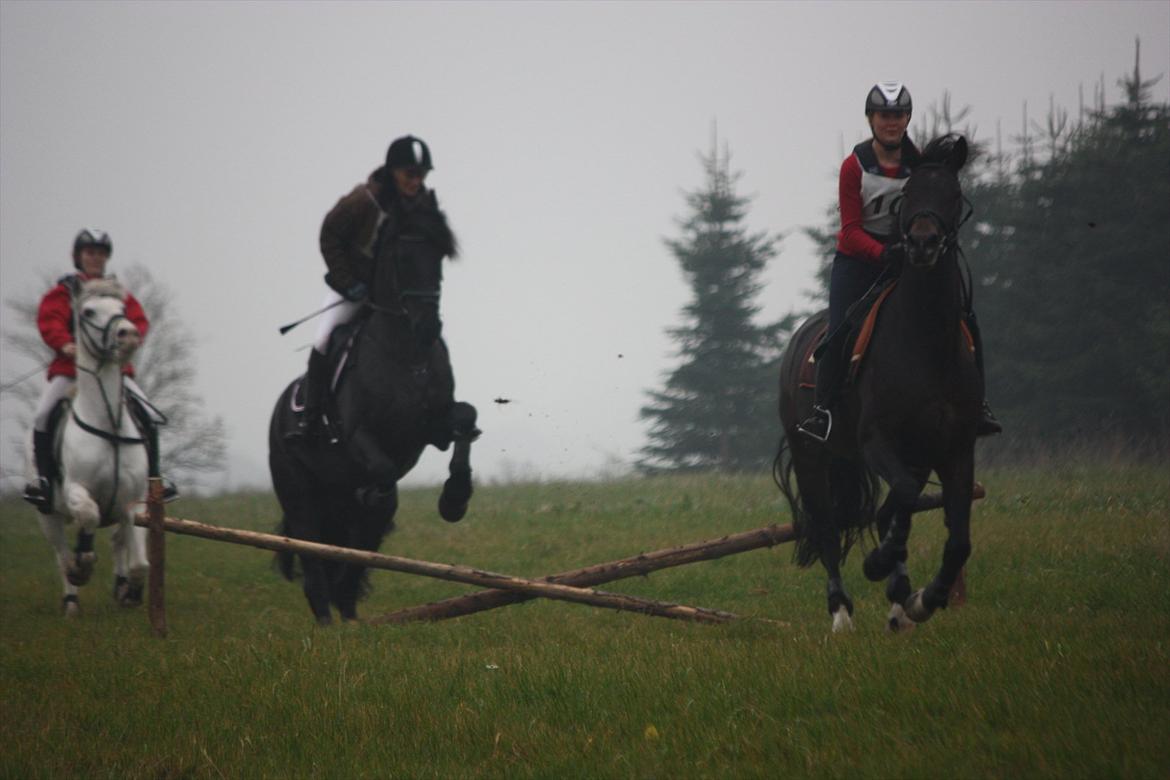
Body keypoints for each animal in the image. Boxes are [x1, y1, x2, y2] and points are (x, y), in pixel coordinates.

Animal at [32, 279, 150, 617]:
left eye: (123, 309)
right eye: (87, 311)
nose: (128, 335)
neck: (108, 424)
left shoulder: (134, 500)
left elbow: (140, 562)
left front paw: (132, 592)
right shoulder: (75, 489)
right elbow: (88, 514)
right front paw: (82, 564)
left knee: (118, 541)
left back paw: (121, 587)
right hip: (47, 514)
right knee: (60, 551)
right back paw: (71, 597)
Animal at [267, 204, 477, 626]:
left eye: (440, 258)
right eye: (402, 258)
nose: (428, 327)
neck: (408, 355)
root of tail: (279, 411)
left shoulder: (434, 427)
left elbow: (465, 417)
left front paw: (454, 499)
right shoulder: (357, 435)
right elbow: (381, 473)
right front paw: (376, 491)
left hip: (336, 505)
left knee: (358, 547)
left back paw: (348, 612)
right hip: (299, 494)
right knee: (315, 558)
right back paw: (328, 621)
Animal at [776, 135, 978, 636]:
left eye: (953, 194)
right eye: (908, 195)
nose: (922, 244)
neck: (926, 341)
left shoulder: (954, 448)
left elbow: (954, 537)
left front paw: (924, 598)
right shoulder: (876, 440)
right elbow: (899, 501)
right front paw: (878, 566)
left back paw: (899, 602)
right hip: (810, 455)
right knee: (827, 527)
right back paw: (842, 614)